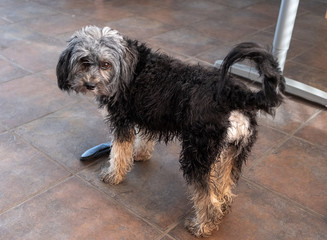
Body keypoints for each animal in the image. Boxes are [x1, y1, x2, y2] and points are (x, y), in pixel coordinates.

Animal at [57, 25, 286, 236]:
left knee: (206, 197)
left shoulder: (122, 121)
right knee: (224, 184)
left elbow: (119, 152)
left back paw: (202, 225)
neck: (129, 67)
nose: (89, 85)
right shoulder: (148, 115)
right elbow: (144, 139)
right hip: (231, 151)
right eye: (84, 61)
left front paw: (114, 175)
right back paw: (222, 205)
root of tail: (234, 95)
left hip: (197, 155)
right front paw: (139, 154)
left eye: (105, 64)